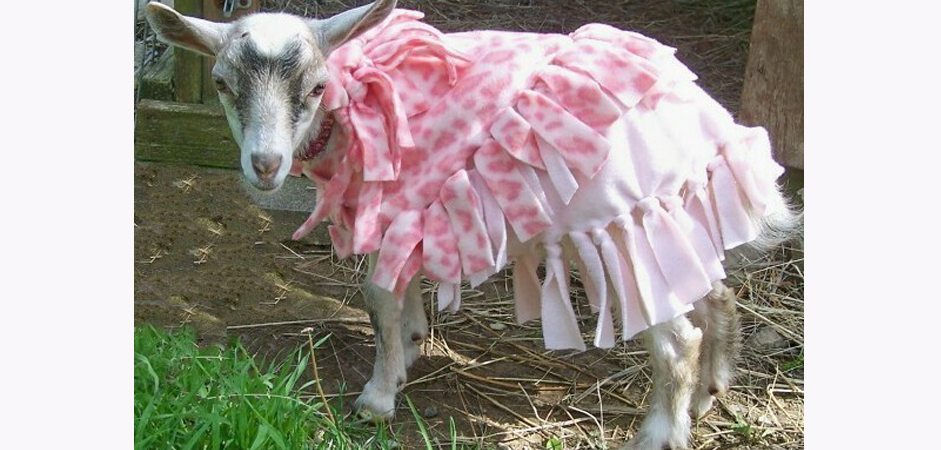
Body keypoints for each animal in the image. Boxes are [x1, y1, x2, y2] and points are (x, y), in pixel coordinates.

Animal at [145, 1, 799, 448]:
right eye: (223, 86)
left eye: (316, 86)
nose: (264, 164)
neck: (354, 103)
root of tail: (707, 121)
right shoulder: (406, 212)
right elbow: (396, 291)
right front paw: (409, 349)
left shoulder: (403, 200)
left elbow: (377, 293)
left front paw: (376, 399)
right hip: (671, 218)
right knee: (717, 294)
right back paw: (711, 391)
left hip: (623, 222)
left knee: (677, 339)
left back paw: (661, 432)